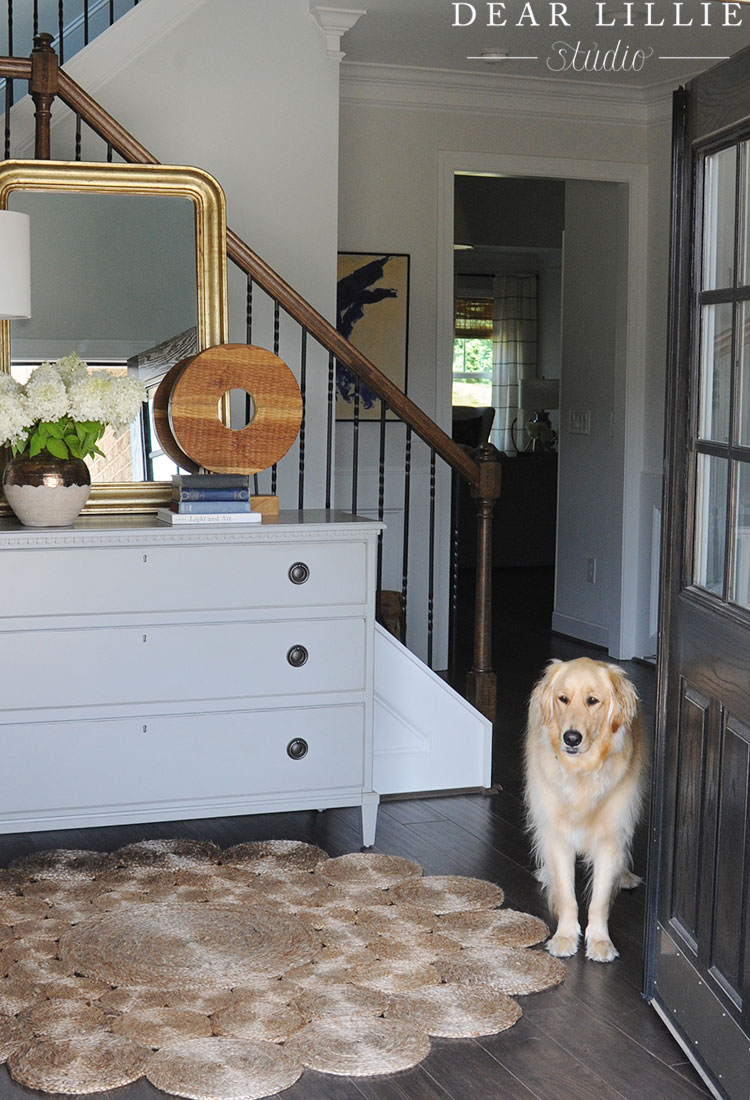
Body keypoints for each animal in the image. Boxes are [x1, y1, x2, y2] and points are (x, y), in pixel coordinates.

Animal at [525, 655, 642, 959]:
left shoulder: (611, 836)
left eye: (592, 700)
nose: (571, 738)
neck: (582, 773)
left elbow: (599, 899)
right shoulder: (557, 835)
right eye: (563, 699)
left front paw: (600, 941)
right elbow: (567, 895)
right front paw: (565, 936)